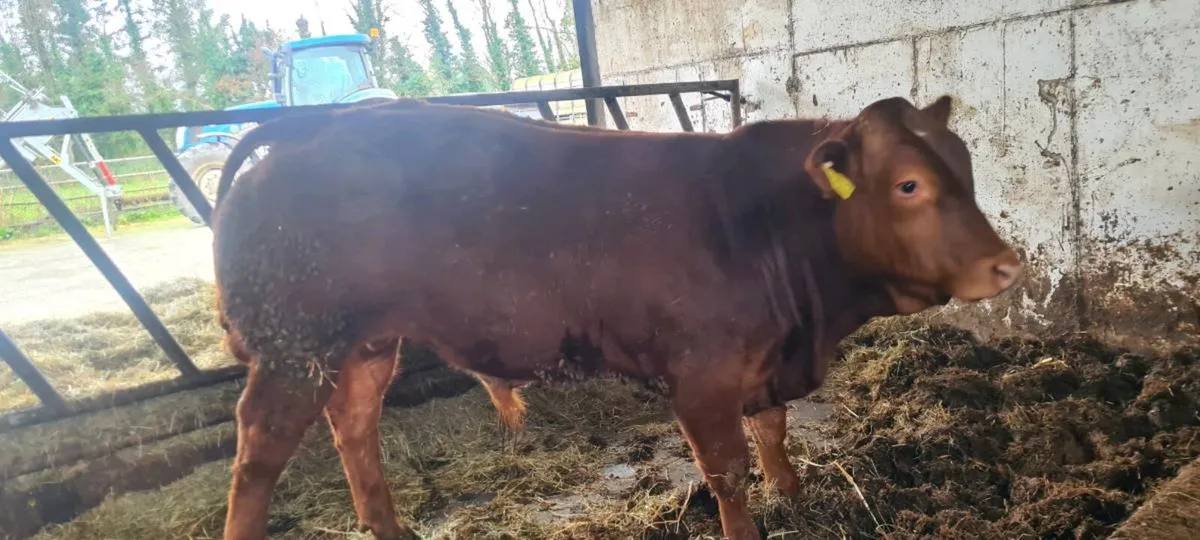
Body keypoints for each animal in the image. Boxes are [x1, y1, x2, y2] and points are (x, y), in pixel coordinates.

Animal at [210, 95, 1021, 540]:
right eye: (909, 184)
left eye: (966, 165)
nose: (1007, 265)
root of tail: (305, 127)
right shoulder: (700, 376)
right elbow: (726, 470)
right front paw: (752, 525)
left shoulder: (764, 361)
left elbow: (774, 436)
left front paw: (798, 499)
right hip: (292, 345)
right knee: (258, 454)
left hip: (364, 341)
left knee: (353, 423)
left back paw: (390, 525)